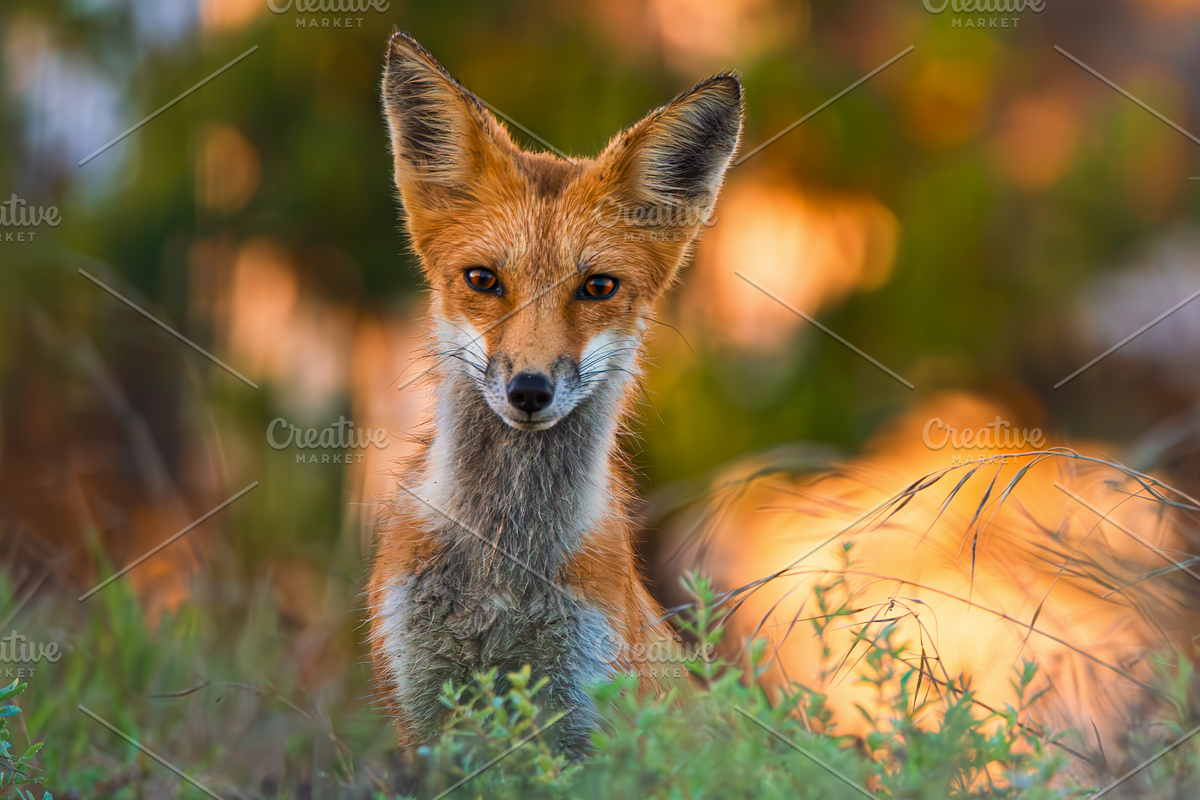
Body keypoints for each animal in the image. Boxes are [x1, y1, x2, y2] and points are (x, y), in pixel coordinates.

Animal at [366, 30, 742, 754]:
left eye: (597, 287)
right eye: (483, 280)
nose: (529, 389)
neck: (504, 568)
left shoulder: (587, 716)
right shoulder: (420, 714)